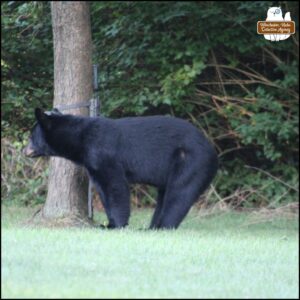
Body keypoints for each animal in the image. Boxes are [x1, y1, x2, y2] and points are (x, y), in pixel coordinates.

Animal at [22, 109, 216, 229]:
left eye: (31, 136)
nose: (24, 149)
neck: (81, 138)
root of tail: (213, 152)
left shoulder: (104, 155)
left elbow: (115, 186)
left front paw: (116, 224)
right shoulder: (92, 163)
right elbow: (102, 189)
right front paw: (108, 223)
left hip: (190, 162)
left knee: (178, 194)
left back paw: (161, 227)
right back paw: (151, 227)